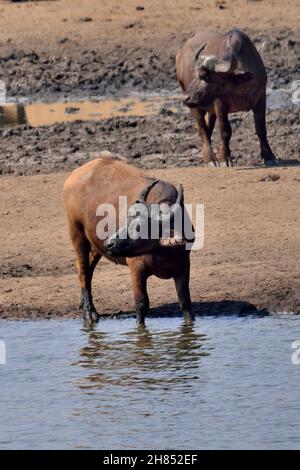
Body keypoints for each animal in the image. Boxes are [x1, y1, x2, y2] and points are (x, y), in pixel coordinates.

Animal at [63, 156, 195, 324]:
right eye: (127, 220)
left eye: (140, 227)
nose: (110, 243)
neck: (163, 251)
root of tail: (74, 175)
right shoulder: (136, 269)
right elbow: (141, 303)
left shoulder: (184, 266)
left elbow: (185, 302)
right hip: (76, 232)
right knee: (83, 269)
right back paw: (90, 313)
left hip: (96, 244)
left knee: (86, 268)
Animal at [177, 28, 278, 167]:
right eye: (197, 75)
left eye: (206, 77)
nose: (186, 98)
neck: (240, 87)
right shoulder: (220, 103)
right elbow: (225, 130)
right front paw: (225, 158)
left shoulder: (261, 99)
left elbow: (261, 129)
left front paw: (269, 156)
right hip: (196, 107)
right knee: (202, 128)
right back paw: (211, 159)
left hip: (208, 108)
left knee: (208, 127)